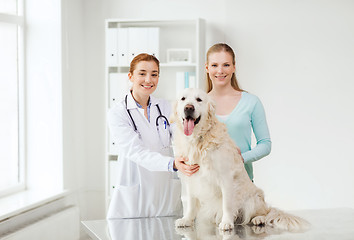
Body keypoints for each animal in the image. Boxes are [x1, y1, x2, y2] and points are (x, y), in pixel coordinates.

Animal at [171, 88, 310, 232]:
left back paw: (258, 219)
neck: (198, 140)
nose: (188, 108)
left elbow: (227, 204)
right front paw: (187, 219)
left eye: (199, 99)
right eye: (183, 99)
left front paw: (226, 222)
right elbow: (191, 203)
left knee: (265, 213)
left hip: (253, 199)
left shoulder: (226, 177)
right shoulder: (191, 176)